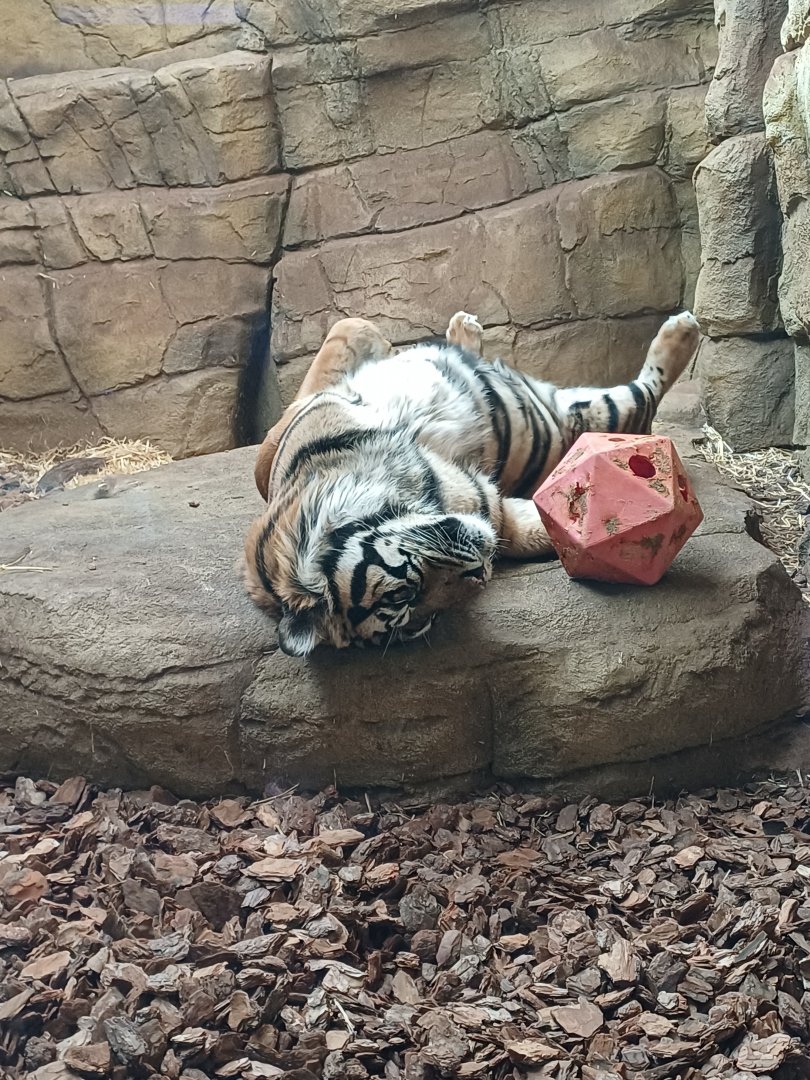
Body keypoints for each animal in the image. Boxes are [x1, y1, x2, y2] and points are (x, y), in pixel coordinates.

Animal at [243, 309, 701, 657]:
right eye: (420, 614)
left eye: (402, 592)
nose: (481, 571)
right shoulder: (494, 510)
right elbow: (535, 529)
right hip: (572, 418)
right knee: (639, 400)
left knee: (645, 394)